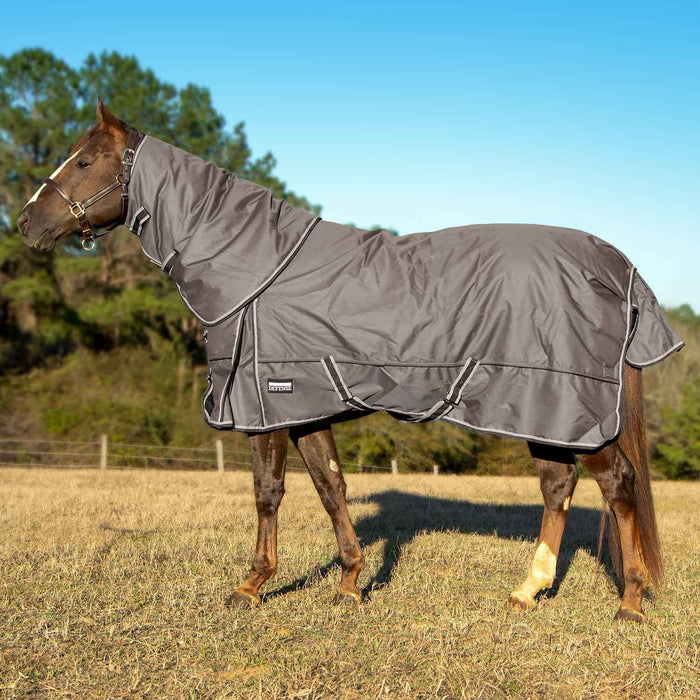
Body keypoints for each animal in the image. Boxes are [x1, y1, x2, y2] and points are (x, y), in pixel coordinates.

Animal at [17, 99, 683, 622]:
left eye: (83, 162)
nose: (26, 223)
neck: (258, 267)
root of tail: (617, 264)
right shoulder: (307, 407)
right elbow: (331, 488)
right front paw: (348, 583)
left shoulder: (265, 404)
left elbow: (268, 491)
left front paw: (251, 586)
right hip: (545, 413)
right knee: (557, 487)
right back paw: (526, 591)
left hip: (571, 407)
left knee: (618, 486)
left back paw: (629, 601)